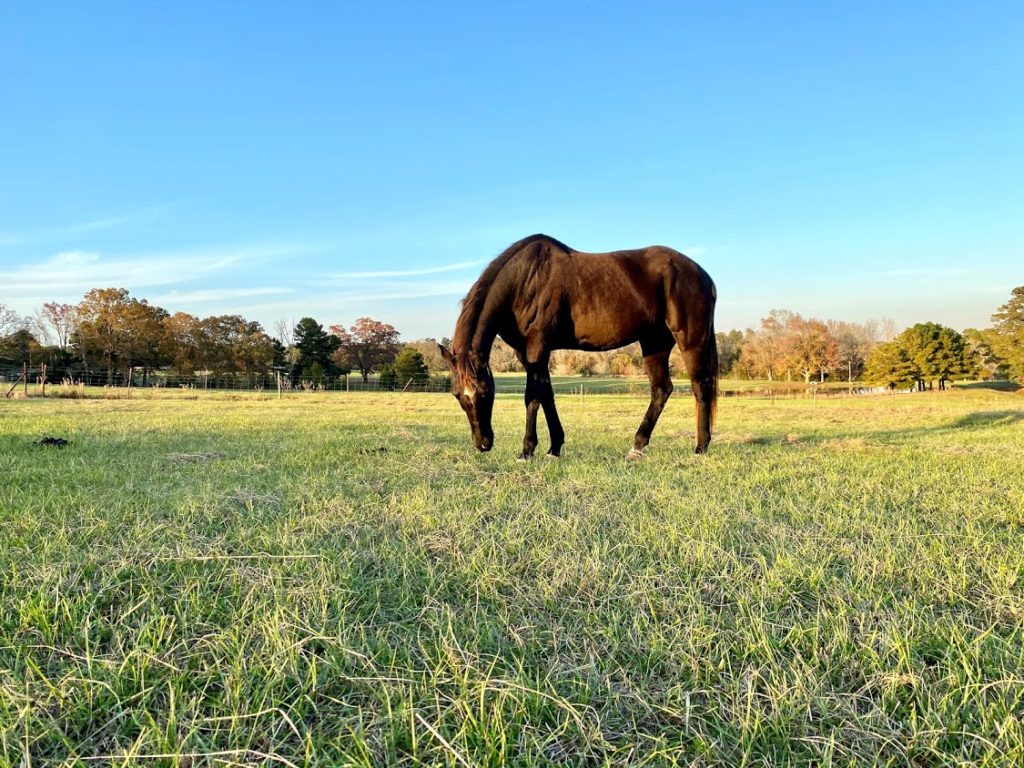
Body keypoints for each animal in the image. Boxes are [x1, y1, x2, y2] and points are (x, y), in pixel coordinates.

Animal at [439, 234, 718, 459]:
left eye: (485, 392)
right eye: (457, 395)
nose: (483, 444)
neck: (525, 281)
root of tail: (702, 274)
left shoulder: (537, 345)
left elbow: (532, 396)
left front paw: (527, 450)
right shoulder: (525, 352)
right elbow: (546, 394)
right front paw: (554, 448)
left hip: (690, 339)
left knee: (700, 385)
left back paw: (701, 448)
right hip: (654, 343)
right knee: (662, 389)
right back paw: (637, 447)